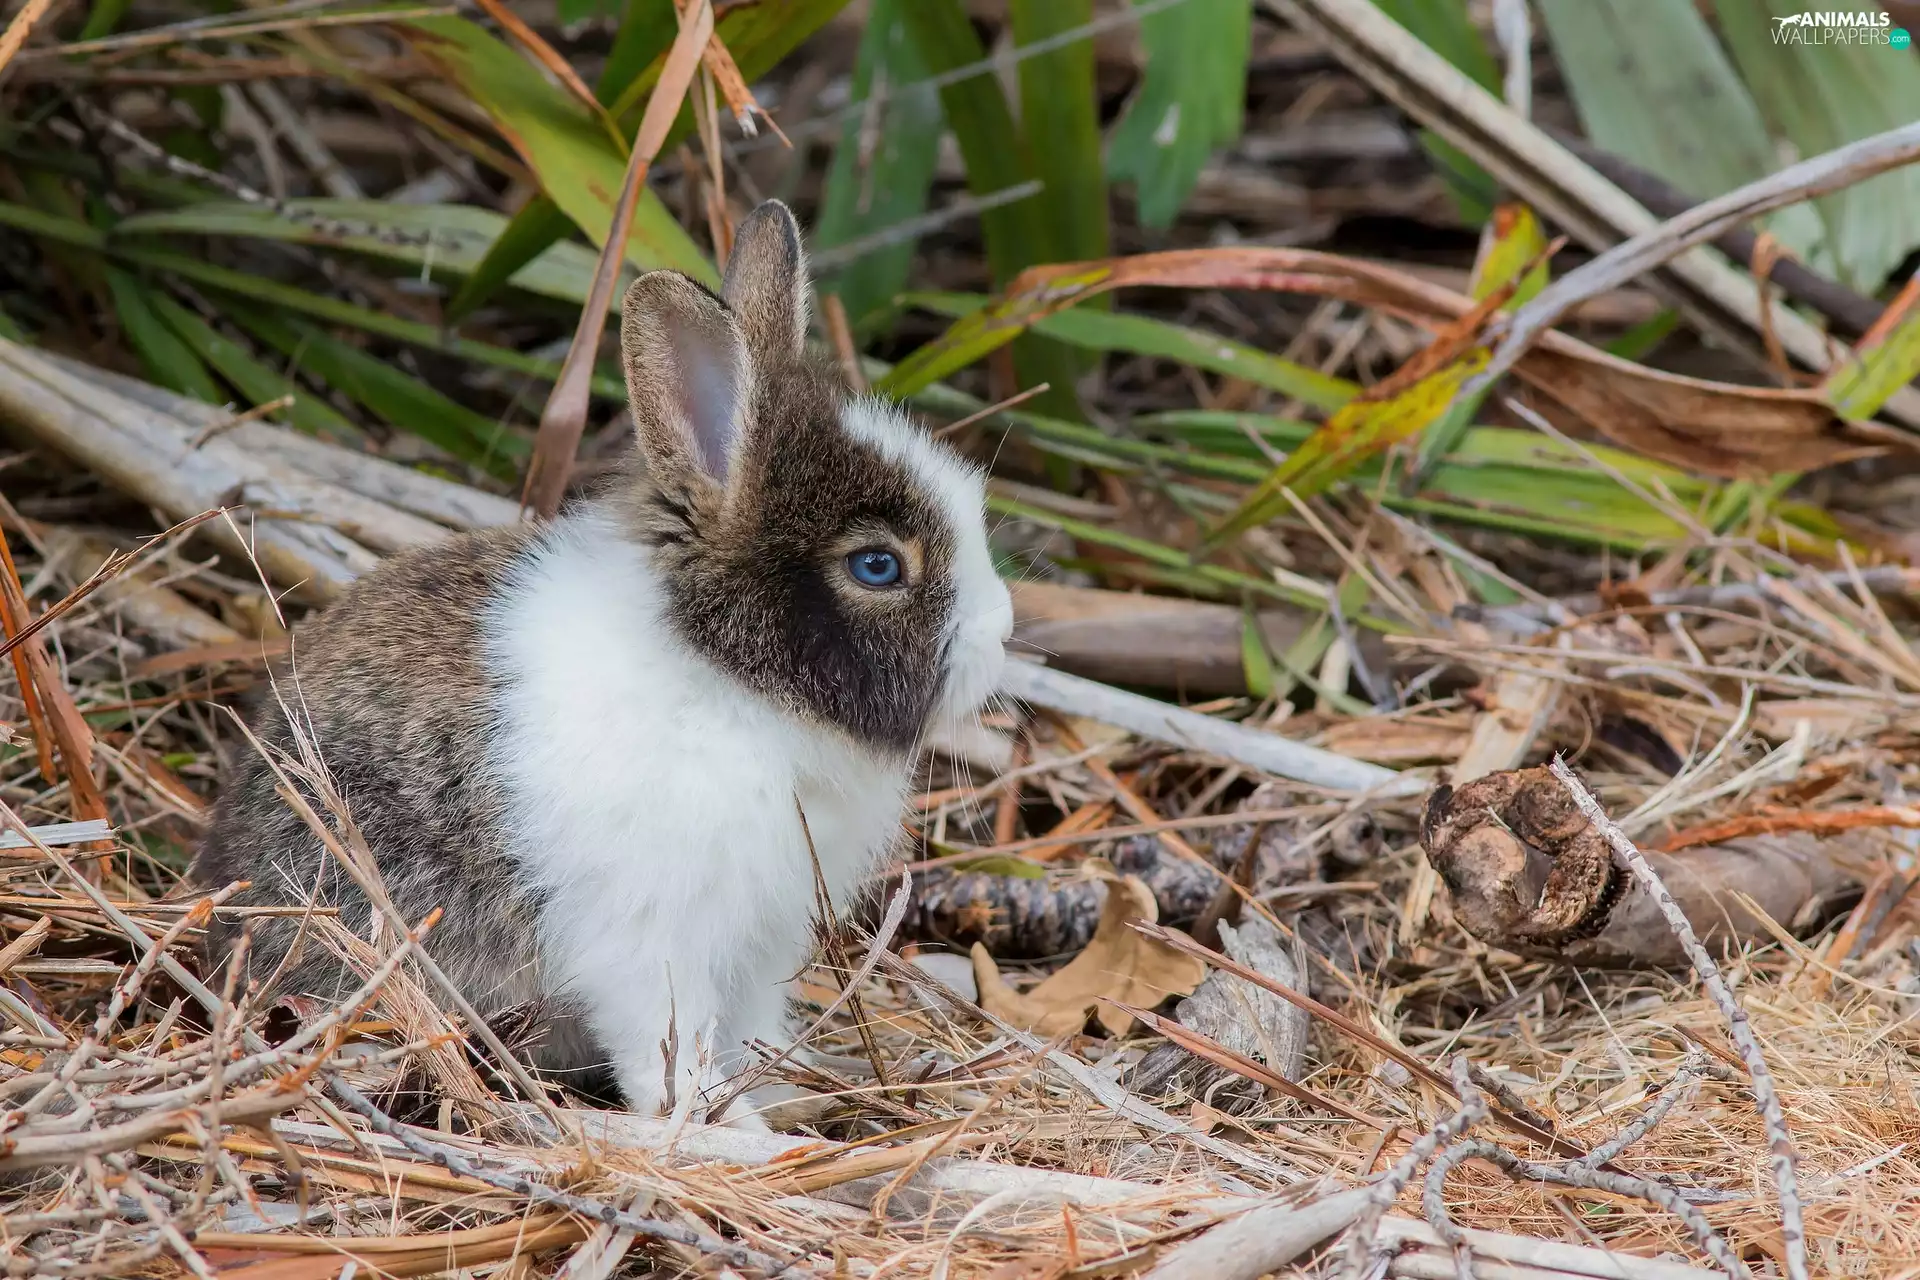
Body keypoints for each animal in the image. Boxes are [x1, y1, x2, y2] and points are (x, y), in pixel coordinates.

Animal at [191, 200, 1014, 1130]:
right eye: (878, 566)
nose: (1002, 633)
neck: (730, 678)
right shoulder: (652, 942)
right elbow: (670, 1053)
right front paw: (731, 1134)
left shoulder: (759, 946)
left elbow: (748, 1031)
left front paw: (780, 1096)